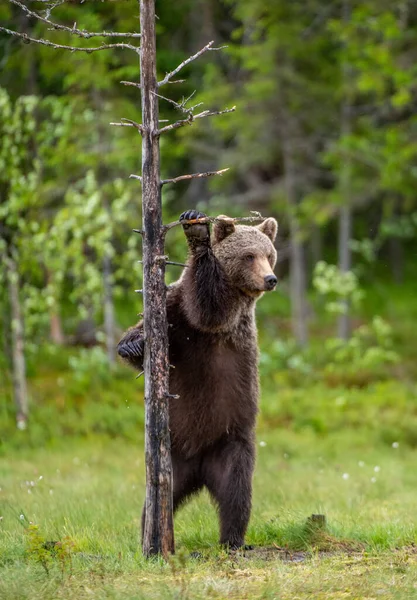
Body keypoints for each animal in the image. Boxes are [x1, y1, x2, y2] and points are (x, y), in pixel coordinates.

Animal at [117, 210, 278, 548]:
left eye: (269, 255)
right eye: (249, 255)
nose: (270, 279)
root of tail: (201, 470)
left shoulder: (225, 316)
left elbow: (209, 308)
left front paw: (199, 236)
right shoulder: (173, 309)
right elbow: (145, 334)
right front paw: (132, 345)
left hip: (231, 443)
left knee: (236, 493)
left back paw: (232, 539)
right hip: (173, 459)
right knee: (157, 499)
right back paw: (150, 537)